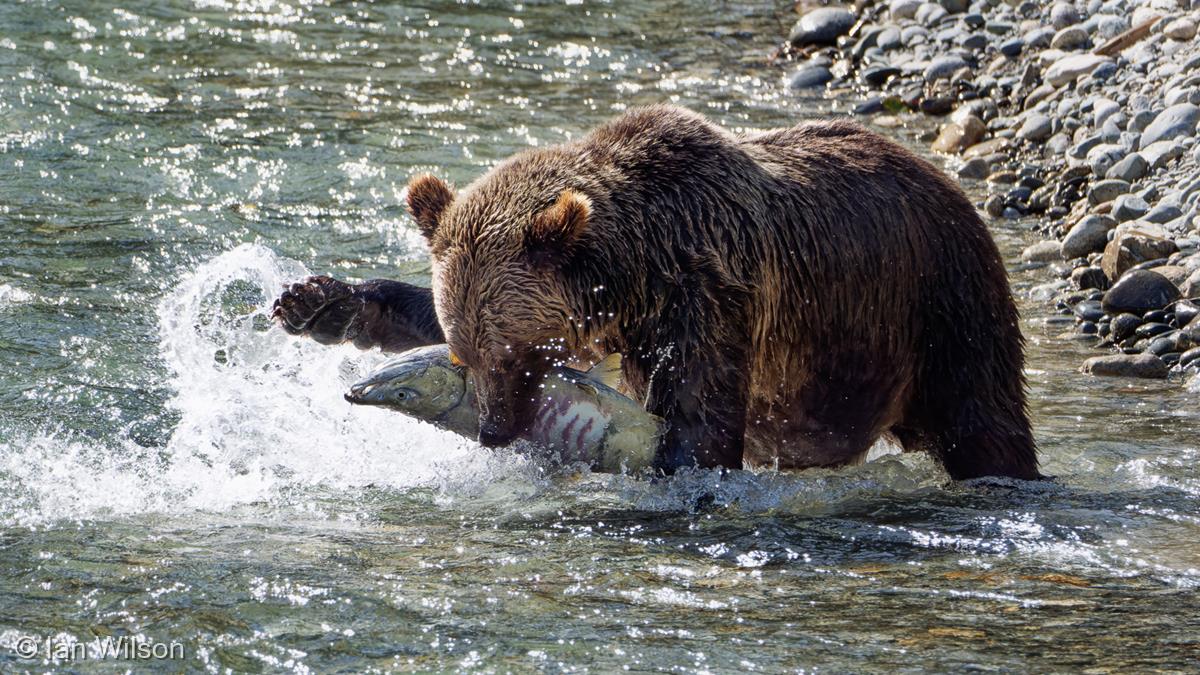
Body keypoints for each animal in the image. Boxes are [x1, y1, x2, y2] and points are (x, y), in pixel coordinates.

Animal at [301, 104, 1039, 480]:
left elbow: (700, 417)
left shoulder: (712, 294)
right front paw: (324, 303)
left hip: (938, 303)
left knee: (982, 417)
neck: (639, 265)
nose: (492, 430)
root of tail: (945, 180)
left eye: (514, 353)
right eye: (466, 354)